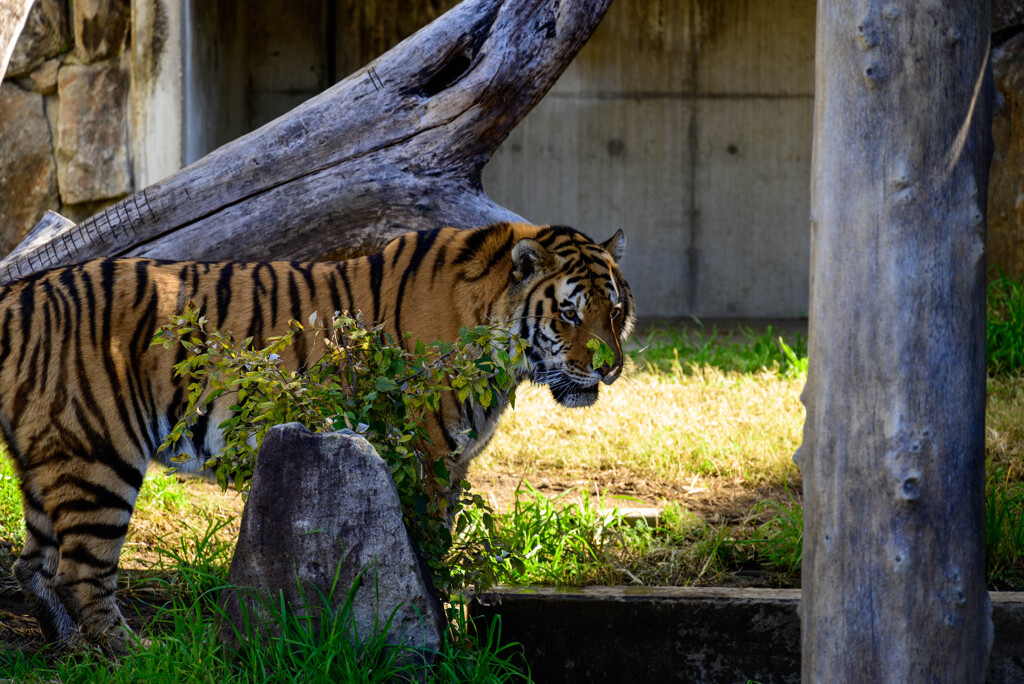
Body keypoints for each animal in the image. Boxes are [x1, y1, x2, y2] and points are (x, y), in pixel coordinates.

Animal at [2, 223, 630, 651]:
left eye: (616, 311)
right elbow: (432, 547)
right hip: (98, 453)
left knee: (32, 565)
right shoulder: (428, 454)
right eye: (569, 315)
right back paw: (132, 652)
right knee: (81, 571)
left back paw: (69, 646)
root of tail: (17, 295)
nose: (610, 369)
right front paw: (441, 627)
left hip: (48, 457)